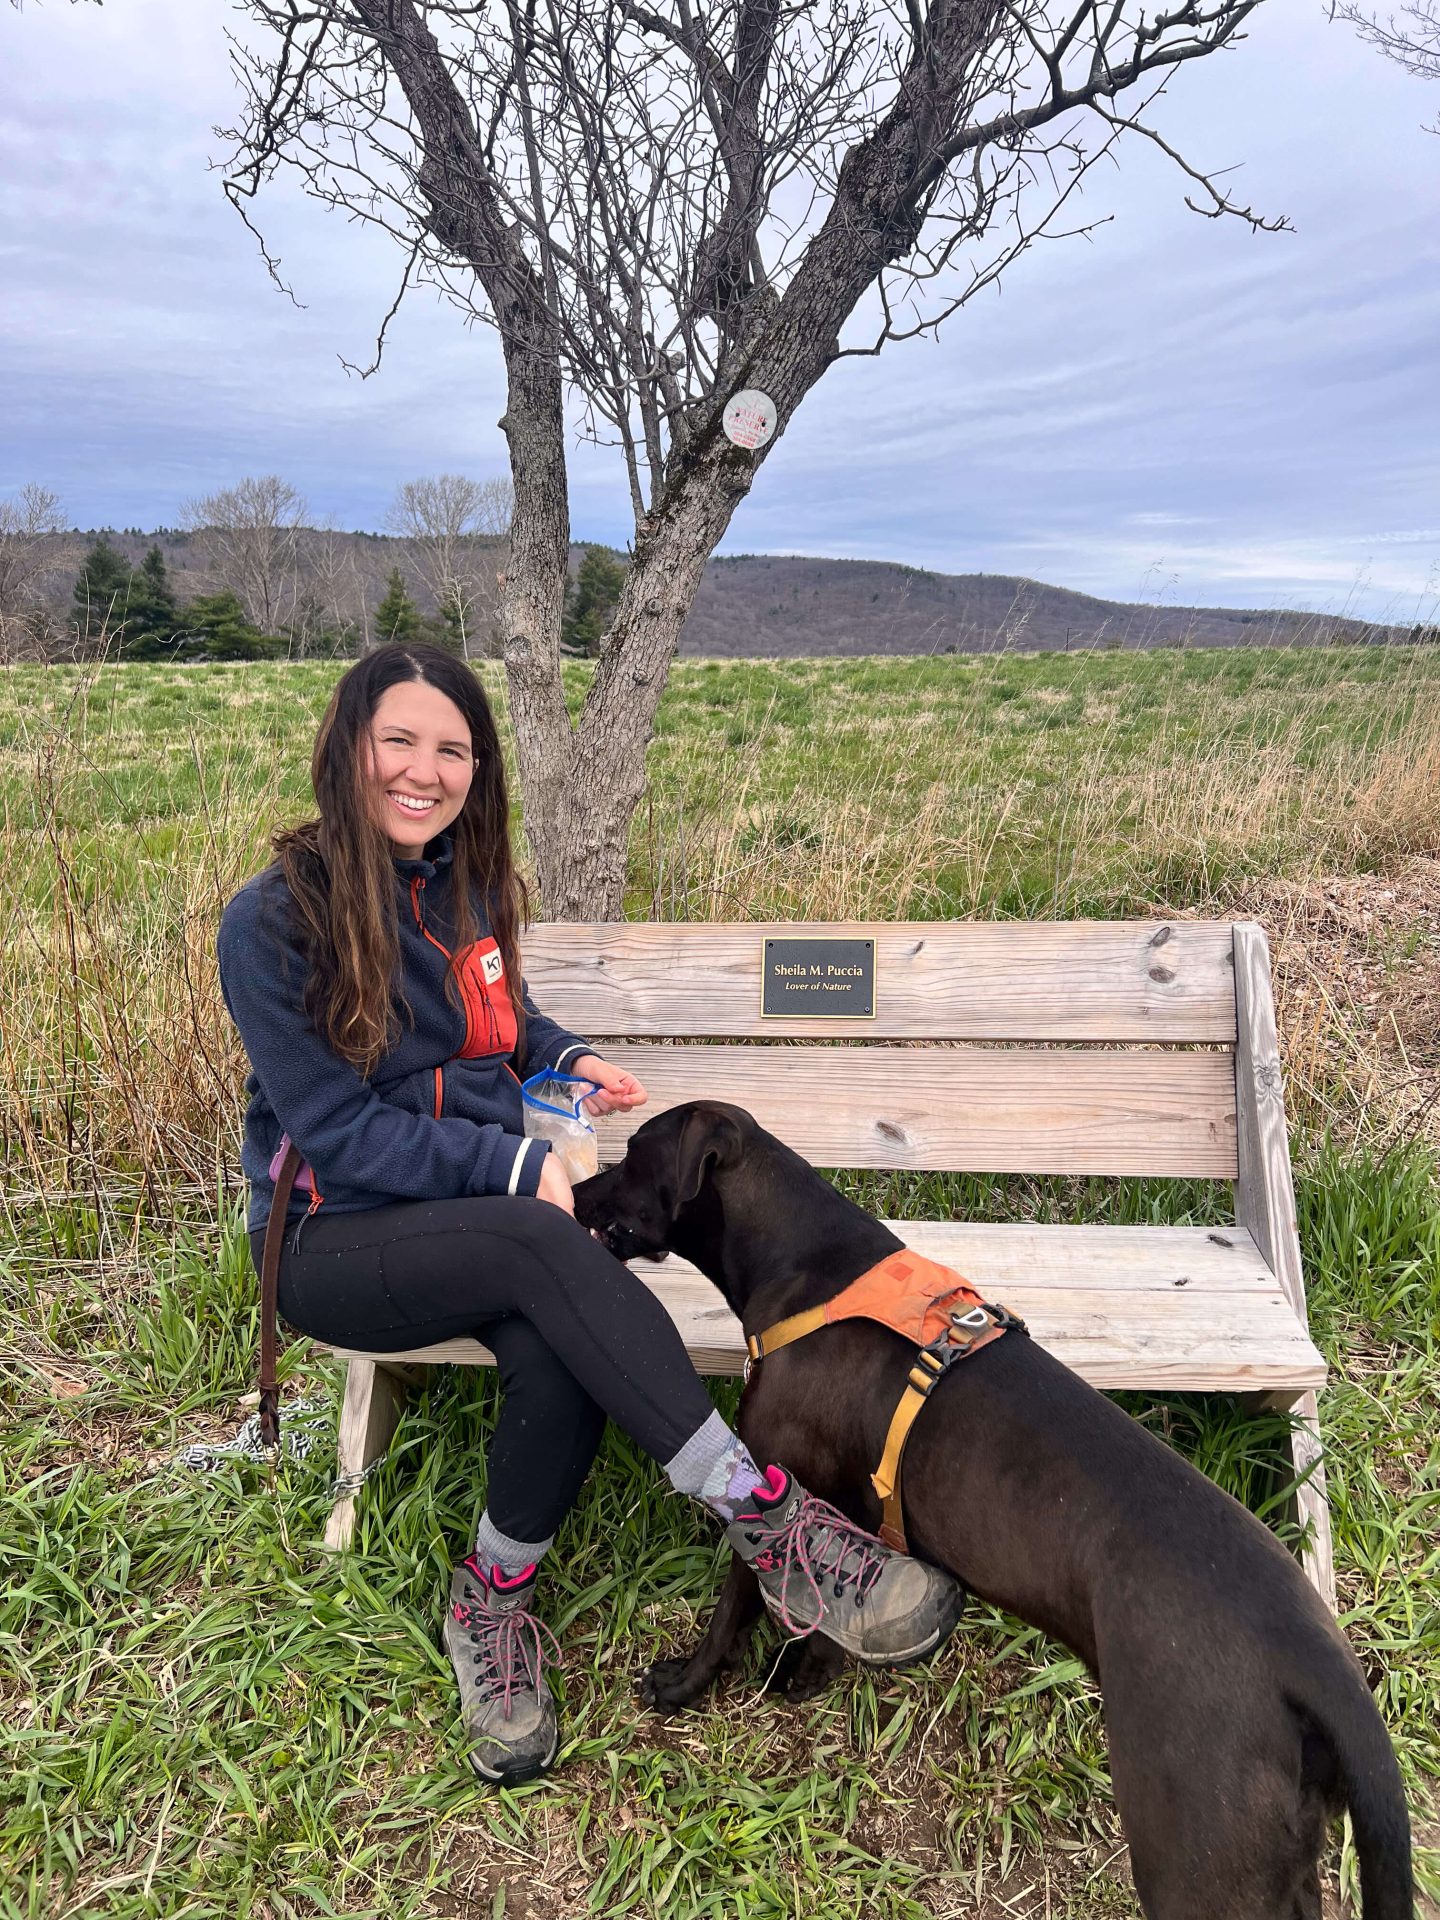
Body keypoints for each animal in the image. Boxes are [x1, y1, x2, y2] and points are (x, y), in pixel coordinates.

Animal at [576, 1098, 1413, 1920]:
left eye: (633, 1151)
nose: (576, 1191)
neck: (805, 1259)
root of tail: (1323, 1670)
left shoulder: (765, 1486)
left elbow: (729, 1613)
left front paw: (685, 1684)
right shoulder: (843, 1498)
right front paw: (806, 1668)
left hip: (1198, 1858)